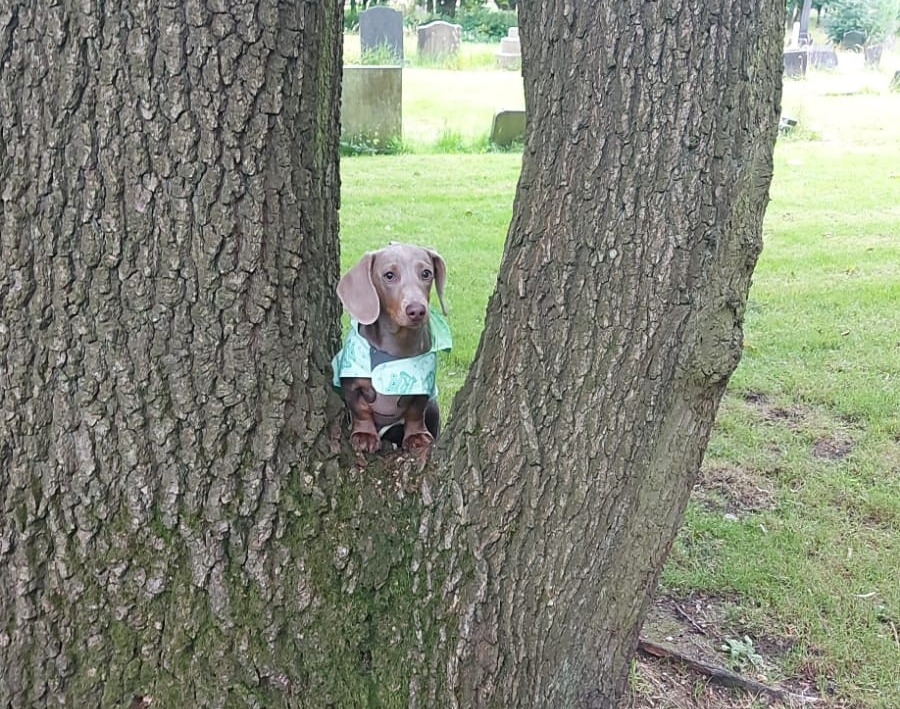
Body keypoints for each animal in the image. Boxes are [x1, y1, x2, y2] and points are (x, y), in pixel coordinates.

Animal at [332, 243, 450, 454]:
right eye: (389, 275)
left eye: (426, 273)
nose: (417, 310)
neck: (396, 346)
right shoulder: (352, 384)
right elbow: (360, 409)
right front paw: (364, 435)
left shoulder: (422, 389)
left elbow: (415, 412)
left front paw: (416, 436)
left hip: (434, 407)